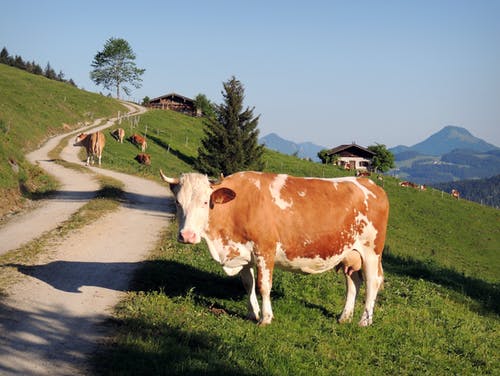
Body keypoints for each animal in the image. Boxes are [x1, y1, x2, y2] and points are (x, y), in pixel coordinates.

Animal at [162, 170, 388, 326]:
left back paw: (364, 321)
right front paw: (252, 313)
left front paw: (265, 318)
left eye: (205, 202)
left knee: (373, 282)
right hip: (349, 253)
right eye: (178, 202)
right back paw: (344, 317)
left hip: (371, 251)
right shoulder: (244, 253)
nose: (187, 236)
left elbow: (263, 286)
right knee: (354, 282)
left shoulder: (265, 250)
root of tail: (368, 183)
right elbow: (248, 284)